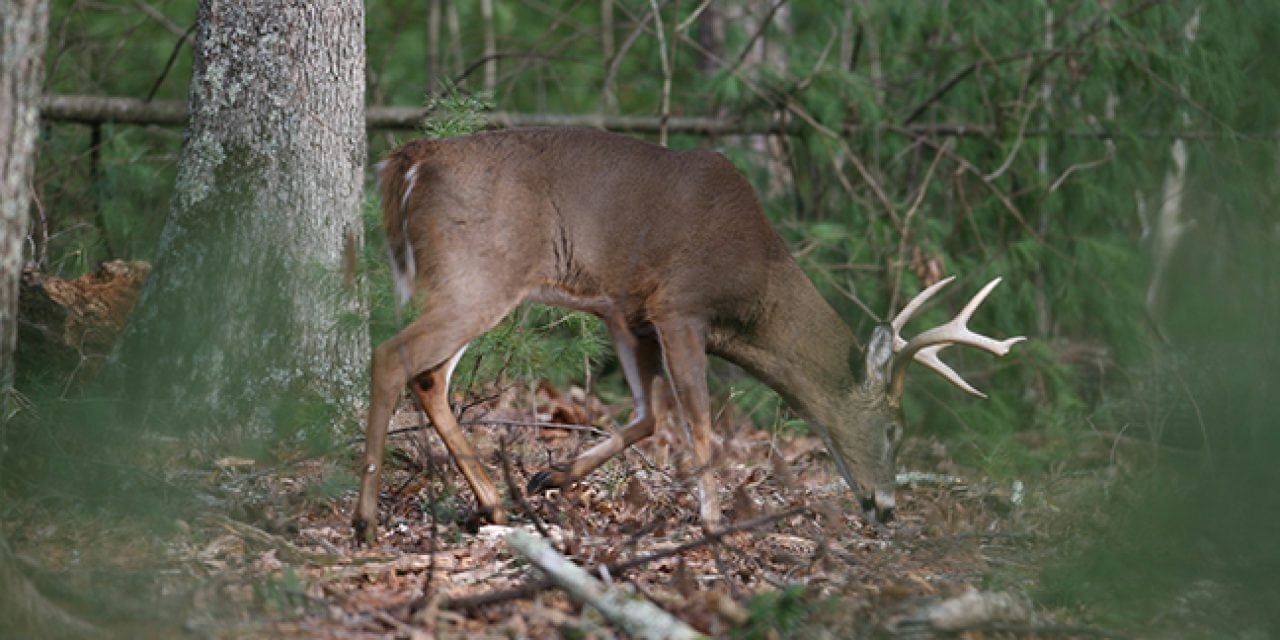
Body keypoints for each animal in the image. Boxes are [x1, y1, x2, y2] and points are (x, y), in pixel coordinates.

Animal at [350, 127, 1018, 542]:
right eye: (893, 429)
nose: (886, 508)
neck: (755, 281)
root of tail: (410, 160)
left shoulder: (626, 311)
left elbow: (649, 414)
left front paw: (552, 476)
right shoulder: (679, 306)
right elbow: (696, 419)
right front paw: (715, 518)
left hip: (468, 279)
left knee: (428, 375)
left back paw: (492, 501)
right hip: (479, 273)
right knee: (391, 357)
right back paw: (365, 519)